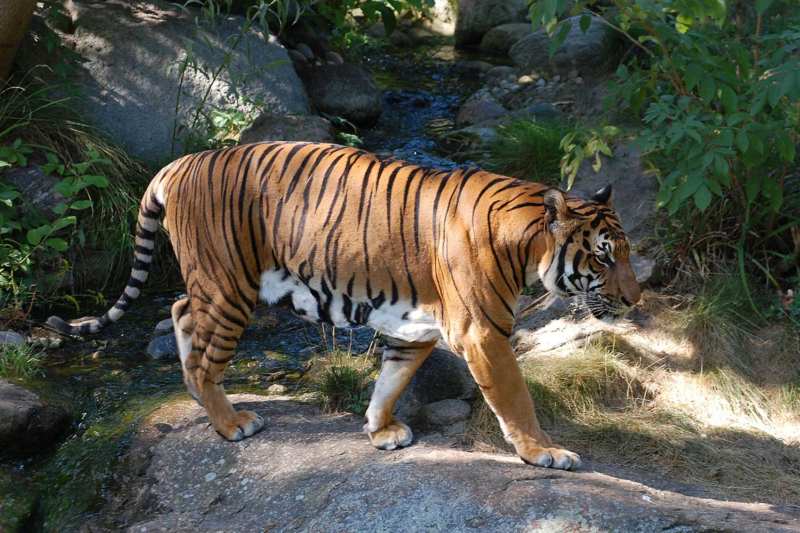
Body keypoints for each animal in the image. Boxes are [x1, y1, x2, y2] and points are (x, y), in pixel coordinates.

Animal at [48, 140, 636, 470]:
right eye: (603, 257)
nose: (635, 299)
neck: (526, 247)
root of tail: (182, 162)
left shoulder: (413, 328)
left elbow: (390, 382)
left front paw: (379, 432)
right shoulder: (483, 334)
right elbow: (516, 400)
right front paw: (543, 453)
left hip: (218, 285)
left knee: (177, 311)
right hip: (229, 285)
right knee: (199, 345)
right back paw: (230, 421)